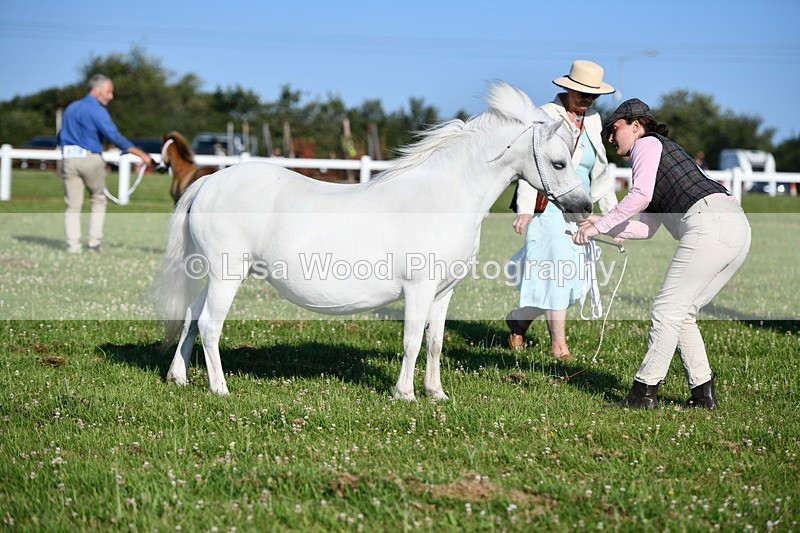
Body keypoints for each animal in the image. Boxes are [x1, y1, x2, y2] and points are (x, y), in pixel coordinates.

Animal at [150, 81, 592, 400]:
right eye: (558, 162)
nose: (584, 207)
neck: (443, 197)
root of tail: (208, 182)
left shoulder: (443, 292)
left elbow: (434, 342)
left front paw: (436, 394)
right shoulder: (419, 289)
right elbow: (412, 341)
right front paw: (405, 394)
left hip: (214, 277)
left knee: (190, 316)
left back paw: (178, 378)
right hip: (226, 276)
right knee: (209, 325)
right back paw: (220, 388)